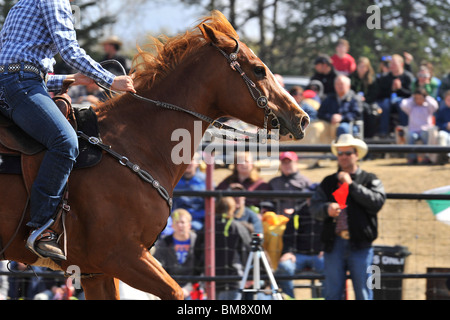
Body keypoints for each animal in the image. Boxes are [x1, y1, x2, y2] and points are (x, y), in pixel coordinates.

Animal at [0, 10, 310, 300]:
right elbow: (175, 291)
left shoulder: (96, 272)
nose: (302, 118)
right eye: (258, 70)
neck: (134, 143)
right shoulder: (122, 256)